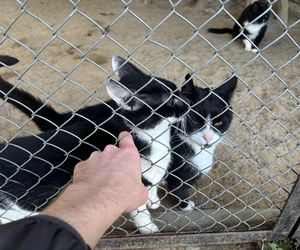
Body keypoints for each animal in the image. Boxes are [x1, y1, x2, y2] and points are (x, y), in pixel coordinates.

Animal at [0, 55, 188, 234]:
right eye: (172, 102)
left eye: (177, 89)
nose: (187, 102)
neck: (153, 138)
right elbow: (140, 211)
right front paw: (148, 228)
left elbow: (153, 185)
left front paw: (153, 200)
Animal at [166, 73, 237, 211]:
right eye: (195, 120)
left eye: (218, 122)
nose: (207, 137)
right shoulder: (173, 174)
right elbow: (177, 189)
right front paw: (186, 205)